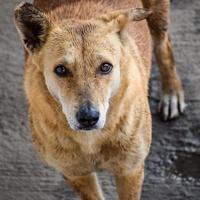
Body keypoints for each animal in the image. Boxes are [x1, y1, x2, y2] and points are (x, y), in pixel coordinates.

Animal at [14, 0, 186, 200]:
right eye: (60, 70)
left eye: (105, 67)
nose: (88, 118)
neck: (91, 140)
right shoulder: (76, 175)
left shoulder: (130, 171)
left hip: (157, 15)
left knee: (164, 45)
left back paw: (172, 93)